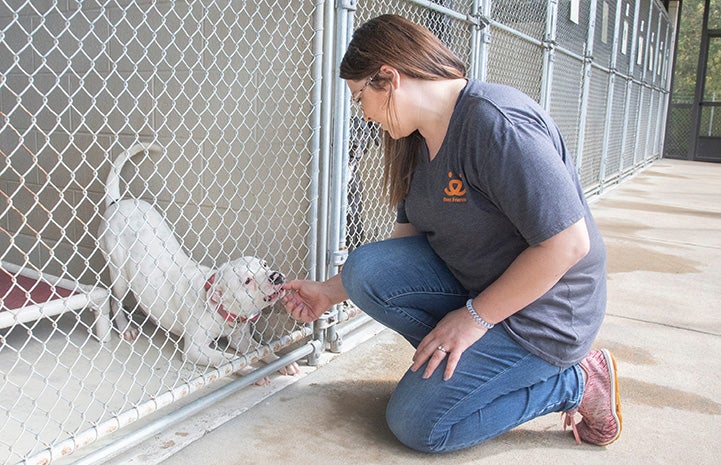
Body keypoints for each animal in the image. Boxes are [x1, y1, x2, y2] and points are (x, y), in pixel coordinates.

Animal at [97, 142, 296, 376]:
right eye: (247, 280)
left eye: (264, 264)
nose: (276, 276)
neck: (220, 309)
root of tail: (116, 203)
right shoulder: (195, 349)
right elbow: (228, 361)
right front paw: (251, 372)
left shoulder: (241, 339)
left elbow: (260, 349)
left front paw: (281, 362)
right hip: (119, 273)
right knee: (115, 299)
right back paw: (125, 327)